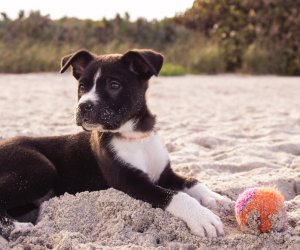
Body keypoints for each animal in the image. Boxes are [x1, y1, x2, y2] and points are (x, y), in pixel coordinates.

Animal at [0, 48, 230, 238]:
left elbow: (192, 181)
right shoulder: (130, 182)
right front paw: (202, 217)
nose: (83, 106)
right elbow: (173, 195)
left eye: (114, 85)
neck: (134, 136)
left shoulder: (165, 173)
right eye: (82, 86)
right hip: (40, 168)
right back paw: (16, 228)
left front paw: (215, 197)